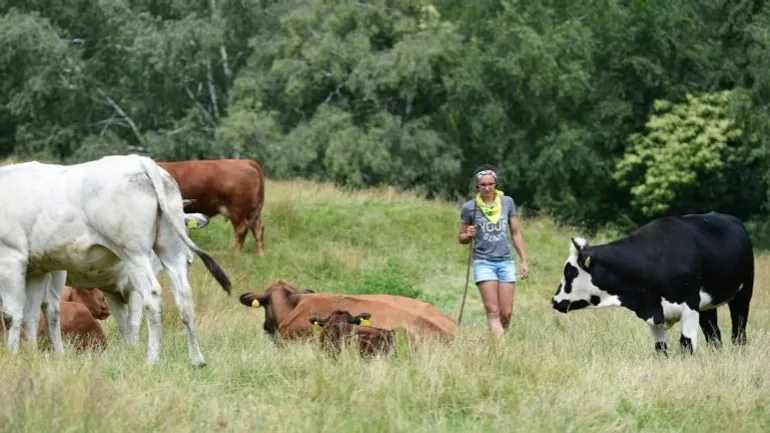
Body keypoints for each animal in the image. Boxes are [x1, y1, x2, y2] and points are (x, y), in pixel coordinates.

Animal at [0, 154, 231, 367]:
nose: (190, 259)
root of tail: (140, 161)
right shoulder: (36, 270)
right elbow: (29, 316)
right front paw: (30, 356)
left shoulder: (10, 259)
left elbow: (11, 315)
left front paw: (13, 357)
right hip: (169, 251)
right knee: (184, 296)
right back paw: (197, 360)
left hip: (133, 253)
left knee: (152, 296)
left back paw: (152, 360)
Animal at [551, 212, 754, 356]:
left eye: (570, 272)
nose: (554, 300)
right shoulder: (653, 312)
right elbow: (661, 348)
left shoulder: (689, 305)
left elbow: (686, 344)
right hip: (707, 306)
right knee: (713, 334)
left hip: (743, 294)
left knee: (739, 331)